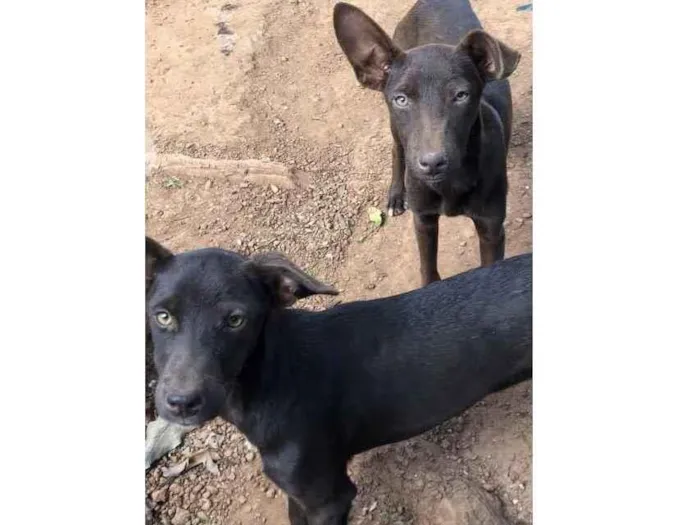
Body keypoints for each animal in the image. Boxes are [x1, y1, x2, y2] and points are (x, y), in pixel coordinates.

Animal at [148, 235, 532, 520]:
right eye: (162, 316)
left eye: (235, 320)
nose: (182, 402)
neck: (272, 378)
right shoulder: (298, 494)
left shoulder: (329, 497)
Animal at [334, 1, 520, 286]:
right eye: (401, 99)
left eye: (461, 95)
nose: (432, 163)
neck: (450, 184)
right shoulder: (423, 220)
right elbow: (428, 268)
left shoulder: (492, 229)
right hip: (395, 129)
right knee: (397, 150)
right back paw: (396, 195)